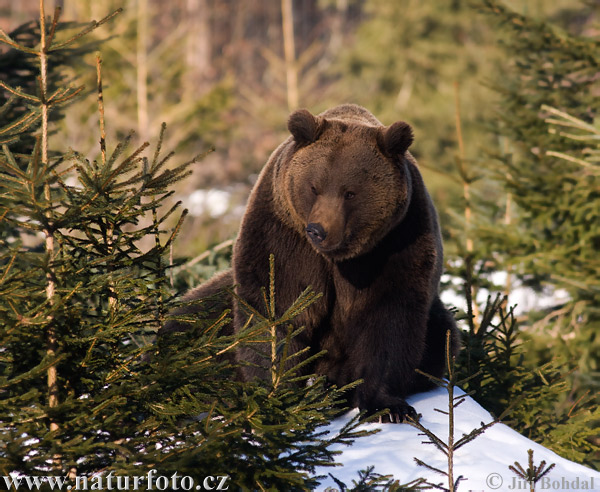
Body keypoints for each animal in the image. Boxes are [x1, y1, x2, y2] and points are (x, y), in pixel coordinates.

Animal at [164, 104, 460, 422]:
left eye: (350, 192)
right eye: (314, 187)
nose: (318, 230)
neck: (338, 257)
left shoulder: (396, 242)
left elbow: (389, 317)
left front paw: (389, 406)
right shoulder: (284, 239)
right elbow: (277, 310)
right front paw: (275, 392)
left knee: (443, 339)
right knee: (193, 326)